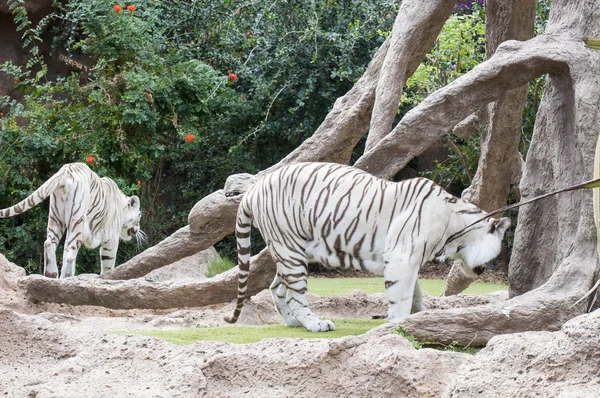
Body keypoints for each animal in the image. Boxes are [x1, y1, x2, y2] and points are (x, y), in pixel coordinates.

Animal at [0, 163, 144, 278]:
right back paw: (66, 278)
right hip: (77, 218)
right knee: (71, 251)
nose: (138, 230)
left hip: (56, 216)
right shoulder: (111, 239)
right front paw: (107, 277)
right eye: (139, 217)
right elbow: (108, 262)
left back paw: (51, 274)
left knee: (50, 243)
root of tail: (67, 169)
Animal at [225, 162, 510, 332]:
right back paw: (316, 324)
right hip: (290, 250)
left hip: (290, 249)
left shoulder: (410, 260)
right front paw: (397, 325)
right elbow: (401, 296)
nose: (484, 271)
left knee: (277, 288)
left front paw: (422, 318)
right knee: (296, 294)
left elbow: (416, 294)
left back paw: (294, 322)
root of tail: (253, 190)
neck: (455, 225)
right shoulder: (401, 257)